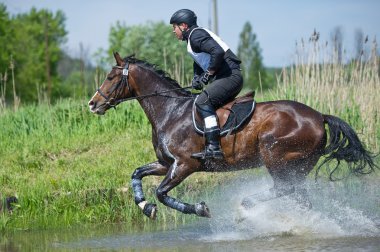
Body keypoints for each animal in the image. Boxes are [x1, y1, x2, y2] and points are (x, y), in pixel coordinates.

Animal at [88, 52, 378, 220]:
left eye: (111, 76)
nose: (92, 104)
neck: (170, 111)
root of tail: (319, 116)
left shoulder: (184, 165)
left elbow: (161, 192)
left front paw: (200, 209)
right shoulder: (165, 164)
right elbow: (137, 174)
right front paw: (146, 207)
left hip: (276, 156)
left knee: (284, 189)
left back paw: (247, 205)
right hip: (298, 165)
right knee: (298, 195)